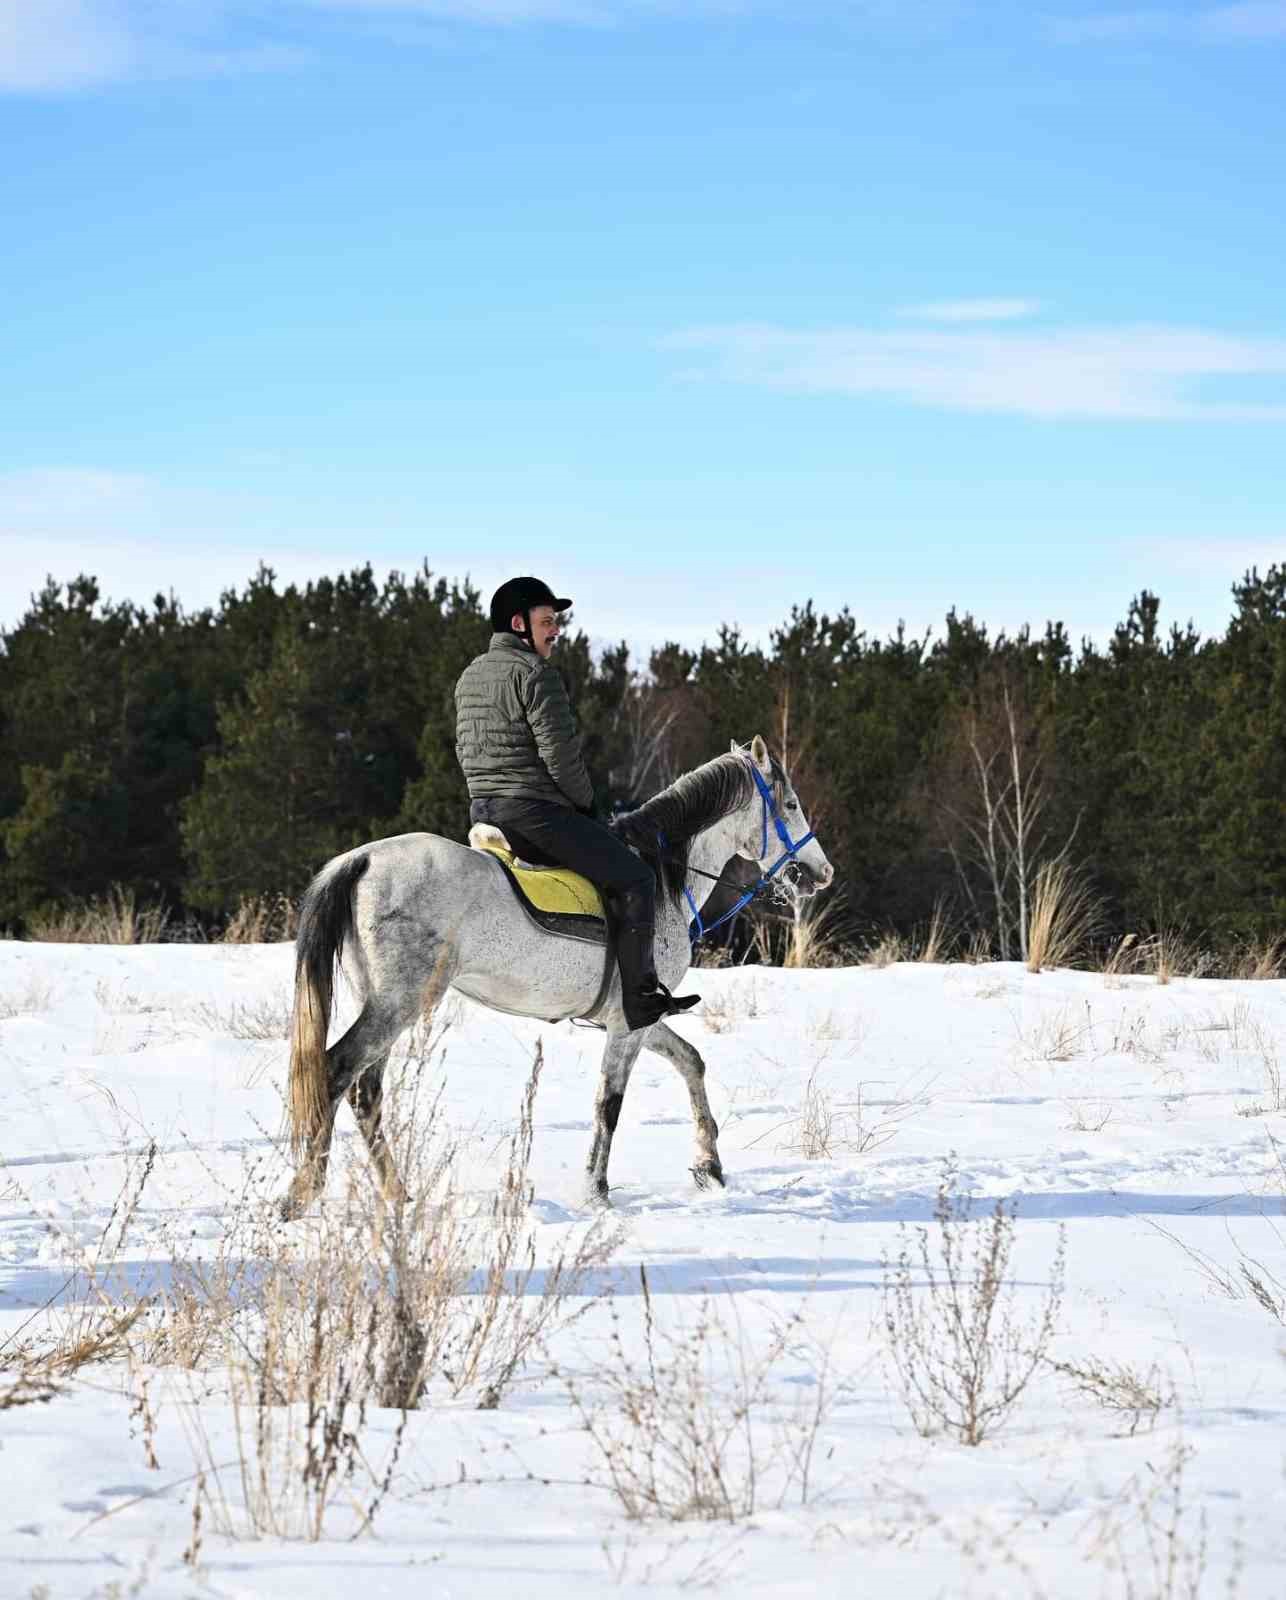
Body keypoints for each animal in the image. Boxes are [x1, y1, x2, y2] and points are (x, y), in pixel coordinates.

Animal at [281, 736, 831, 1209]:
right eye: (789, 805)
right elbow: (609, 1103)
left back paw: (396, 1194)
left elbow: (691, 1062)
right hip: (400, 1002)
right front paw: (596, 1191)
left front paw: (709, 1167)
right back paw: (304, 1192)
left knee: (364, 1090)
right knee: (334, 1072)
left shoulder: (635, 1017)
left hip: (387, 1002)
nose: (821, 873)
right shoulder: (630, 1021)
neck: (663, 879)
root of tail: (363, 858)